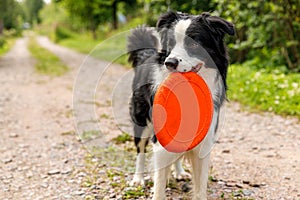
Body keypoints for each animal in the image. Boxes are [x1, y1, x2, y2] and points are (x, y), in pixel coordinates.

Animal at [126, 11, 234, 200]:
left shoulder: (204, 141)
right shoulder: (160, 139)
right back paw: (138, 179)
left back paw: (179, 172)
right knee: (140, 149)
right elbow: (159, 184)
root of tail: (146, 54)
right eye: (171, 44)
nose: (170, 63)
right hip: (140, 118)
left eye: (193, 43)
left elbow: (200, 187)